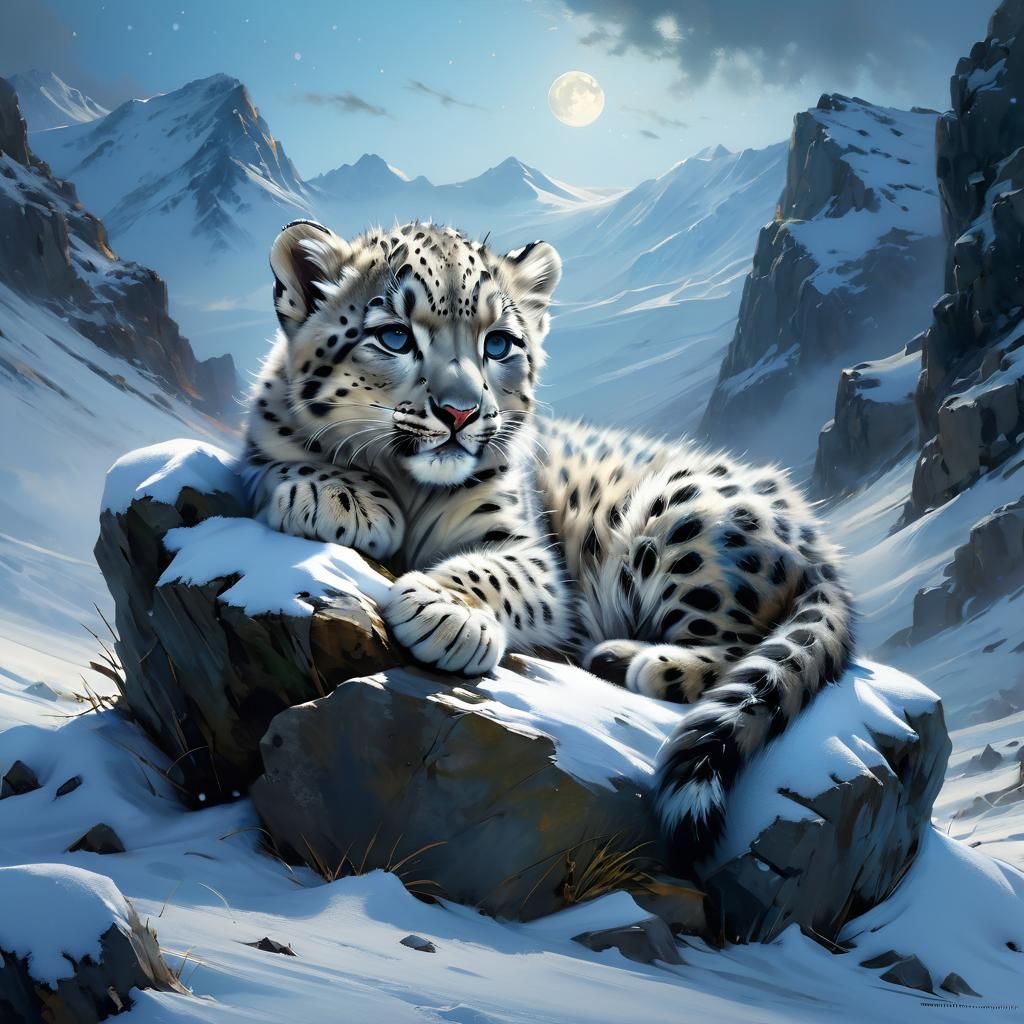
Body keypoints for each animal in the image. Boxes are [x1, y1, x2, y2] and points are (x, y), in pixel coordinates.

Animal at [242, 218, 854, 869]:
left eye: (499, 345)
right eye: (394, 336)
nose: (460, 413)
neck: (409, 485)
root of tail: (814, 534)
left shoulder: (529, 553)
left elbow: (491, 573)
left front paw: (446, 614)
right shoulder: (266, 445)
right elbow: (279, 457)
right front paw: (338, 497)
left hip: (682, 521)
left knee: (740, 643)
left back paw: (633, 660)